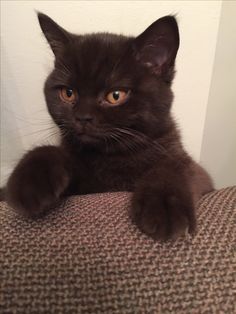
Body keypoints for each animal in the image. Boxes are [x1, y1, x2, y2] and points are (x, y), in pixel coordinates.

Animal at [0, 13, 214, 240]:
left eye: (115, 95)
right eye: (68, 93)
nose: (83, 117)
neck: (112, 156)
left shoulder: (192, 167)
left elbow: (172, 167)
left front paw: (164, 206)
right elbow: (50, 152)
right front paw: (30, 182)